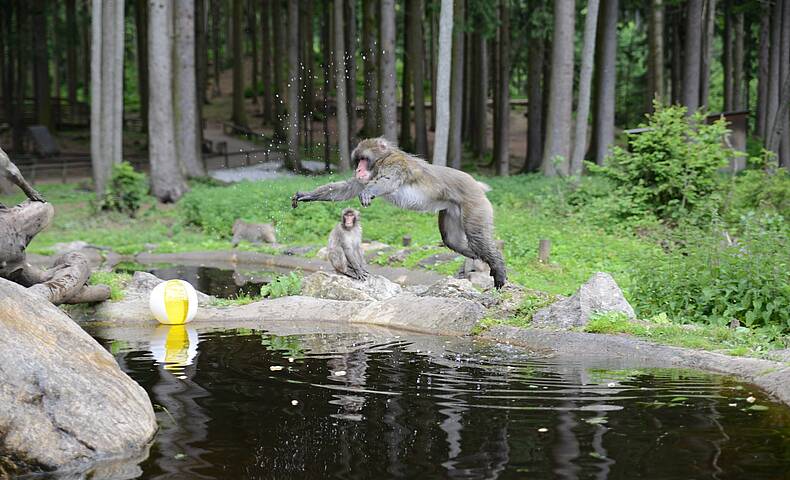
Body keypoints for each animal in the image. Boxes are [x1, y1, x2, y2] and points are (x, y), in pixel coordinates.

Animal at [294, 138, 510, 288]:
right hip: (452, 209)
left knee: (476, 235)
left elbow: (388, 181)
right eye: (358, 161)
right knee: (452, 240)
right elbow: (347, 189)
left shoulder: (395, 165)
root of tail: (477, 185)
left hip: (474, 204)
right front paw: (306, 195)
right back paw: (476, 258)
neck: (380, 161)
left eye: (364, 159)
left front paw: (368, 192)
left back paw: (497, 264)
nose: (358, 170)